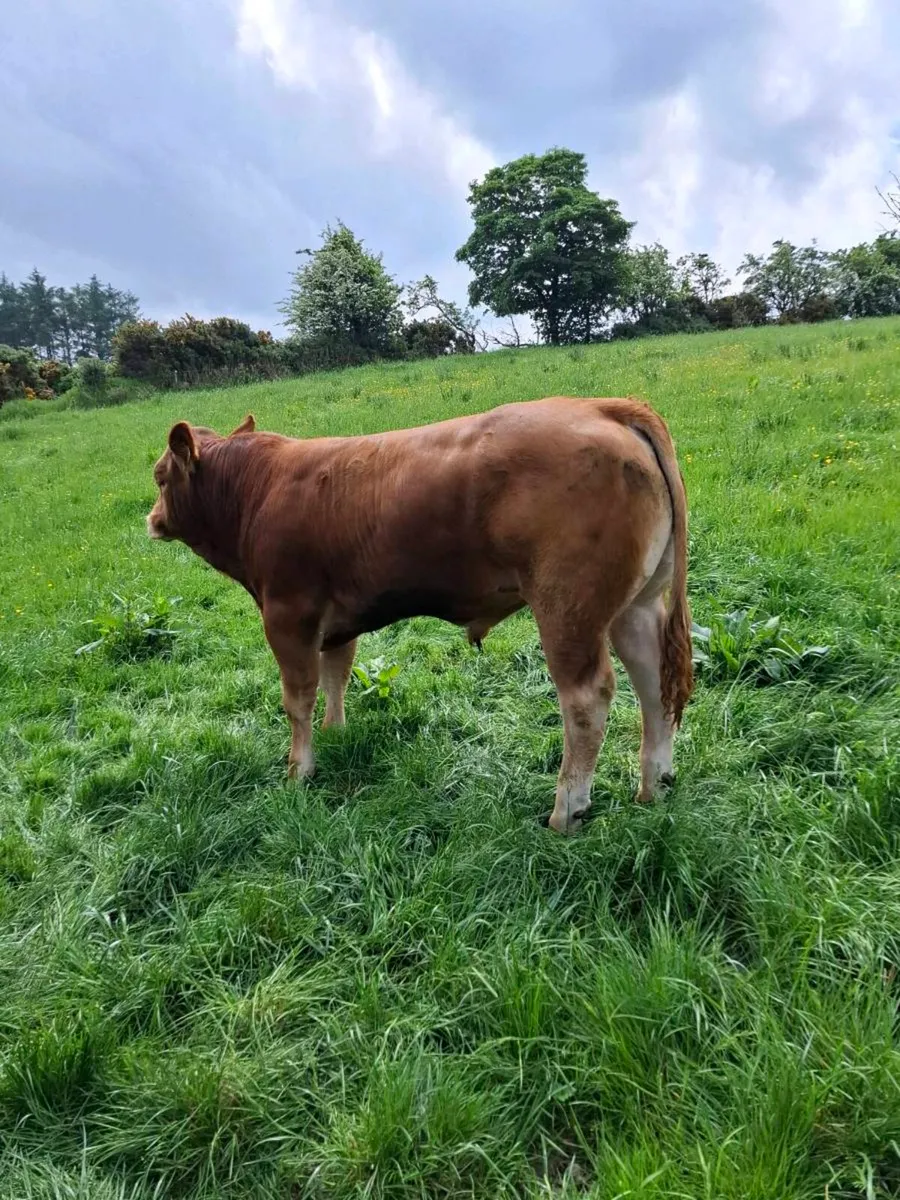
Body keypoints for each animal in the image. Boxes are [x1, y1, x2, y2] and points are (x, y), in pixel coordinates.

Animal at [146, 396, 692, 833]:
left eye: (159, 476)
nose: (151, 520)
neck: (258, 490)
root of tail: (603, 406)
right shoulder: (337, 618)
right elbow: (337, 673)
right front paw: (335, 732)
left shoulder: (287, 615)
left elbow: (297, 698)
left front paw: (299, 770)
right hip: (635, 605)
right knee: (653, 683)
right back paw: (655, 785)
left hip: (567, 609)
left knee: (586, 699)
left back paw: (567, 810)